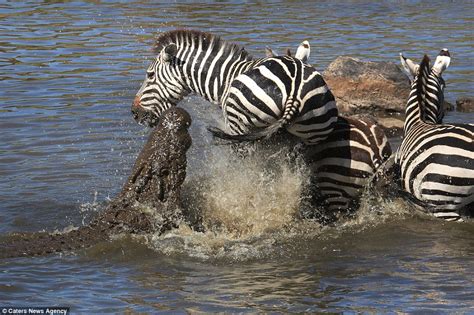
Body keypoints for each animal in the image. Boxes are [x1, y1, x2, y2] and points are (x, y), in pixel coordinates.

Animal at [130, 29, 336, 145]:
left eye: (150, 75)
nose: (134, 113)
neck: (226, 77)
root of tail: (294, 87)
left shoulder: (231, 126)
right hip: (314, 133)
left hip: (240, 126)